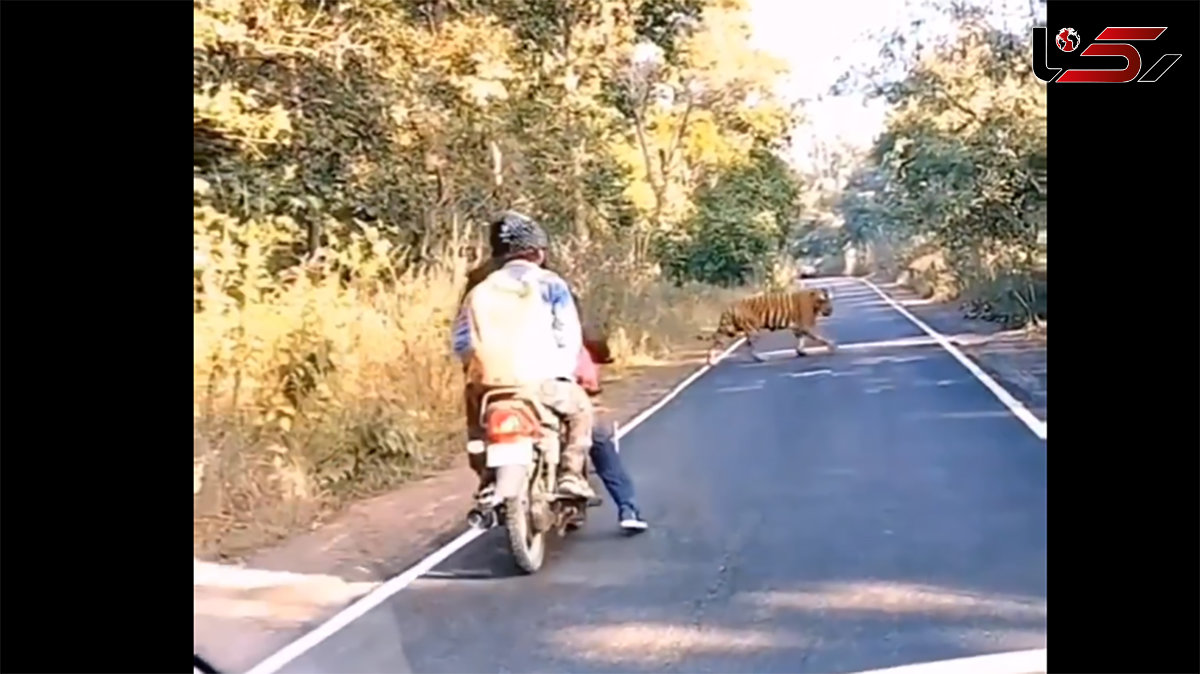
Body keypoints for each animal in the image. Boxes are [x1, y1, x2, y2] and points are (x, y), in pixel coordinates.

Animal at [700, 285, 835, 364]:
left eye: (829, 301)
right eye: (824, 301)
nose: (830, 310)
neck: (814, 303)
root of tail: (730, 306)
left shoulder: (797, 327)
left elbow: (801, 339)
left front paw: (800, 352)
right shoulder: (805, 325)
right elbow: (819, 337)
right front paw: (832, 346)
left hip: (729, 329)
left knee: (717, 342)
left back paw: (711, 361)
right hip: (752, 329)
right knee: (751, 346)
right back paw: (761, 358)